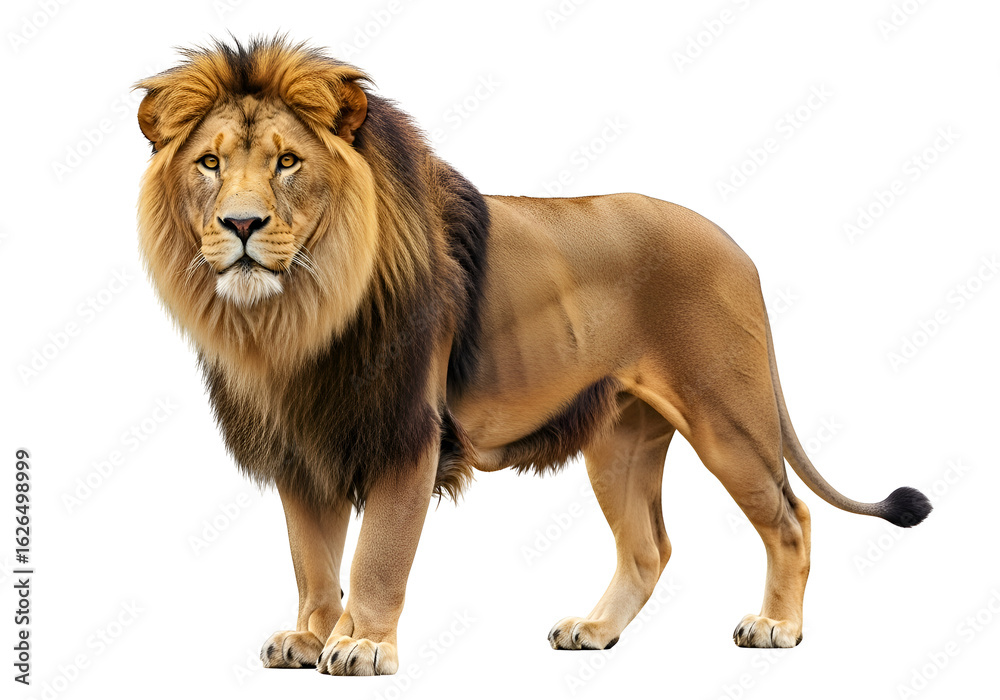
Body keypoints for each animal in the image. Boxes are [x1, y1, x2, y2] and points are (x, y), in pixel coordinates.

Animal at [135, 37, 931, 676]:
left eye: (288, 162)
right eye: (209, 163)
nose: (240, 224)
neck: (294, 316)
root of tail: (738, 248)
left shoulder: (408, 435)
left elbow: (376, 556)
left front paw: (361, 644)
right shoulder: (303, 449)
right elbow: (313, 559)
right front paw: (308, 636)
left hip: (728, 417)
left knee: (791, 518)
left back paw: (776, 627)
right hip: (620, 441)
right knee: (649, 548)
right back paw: (596, 631)